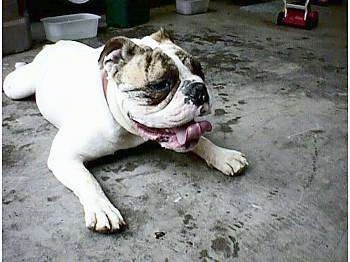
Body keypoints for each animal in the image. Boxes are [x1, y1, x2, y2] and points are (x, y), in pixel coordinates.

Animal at [3, 29, 249, 233]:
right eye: (161, 84)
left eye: (200, 71)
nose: (199, 89)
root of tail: (55, 44)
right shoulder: (64, 155)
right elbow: (87, 180)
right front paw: (102, 209)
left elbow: (200, 140)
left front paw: (223, 155)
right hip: (18, 87)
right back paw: (19, 64)